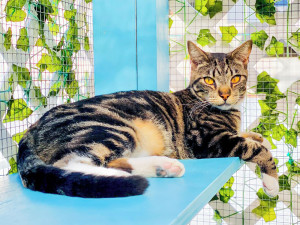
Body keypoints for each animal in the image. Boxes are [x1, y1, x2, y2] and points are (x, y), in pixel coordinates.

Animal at [16, 40, 278, 199]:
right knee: (70, 162)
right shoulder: (207, 140)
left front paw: (256, 134)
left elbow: (250, 136)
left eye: (235, 79)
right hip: (111, 127)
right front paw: (272, 181)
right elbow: (255, 148)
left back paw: (163, 167)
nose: (224, 94)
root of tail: (32, 128)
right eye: (209, 80)